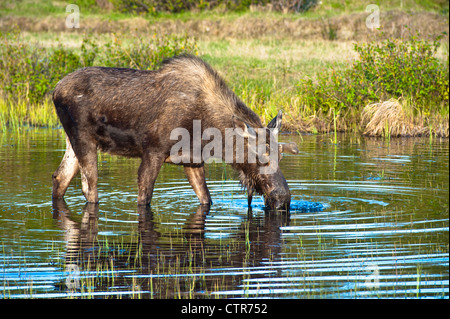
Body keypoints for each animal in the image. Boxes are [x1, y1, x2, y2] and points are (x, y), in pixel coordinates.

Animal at [51, 54, 298, 211]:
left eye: (281, 156)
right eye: (260, 157)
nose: (283, 199)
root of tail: (54, 91)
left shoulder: (193, 161)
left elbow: (206, 199)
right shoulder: (153, 151)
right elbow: (144, 197)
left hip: (71, 141)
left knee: (60, 178)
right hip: (84, 138)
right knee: (89, 187)